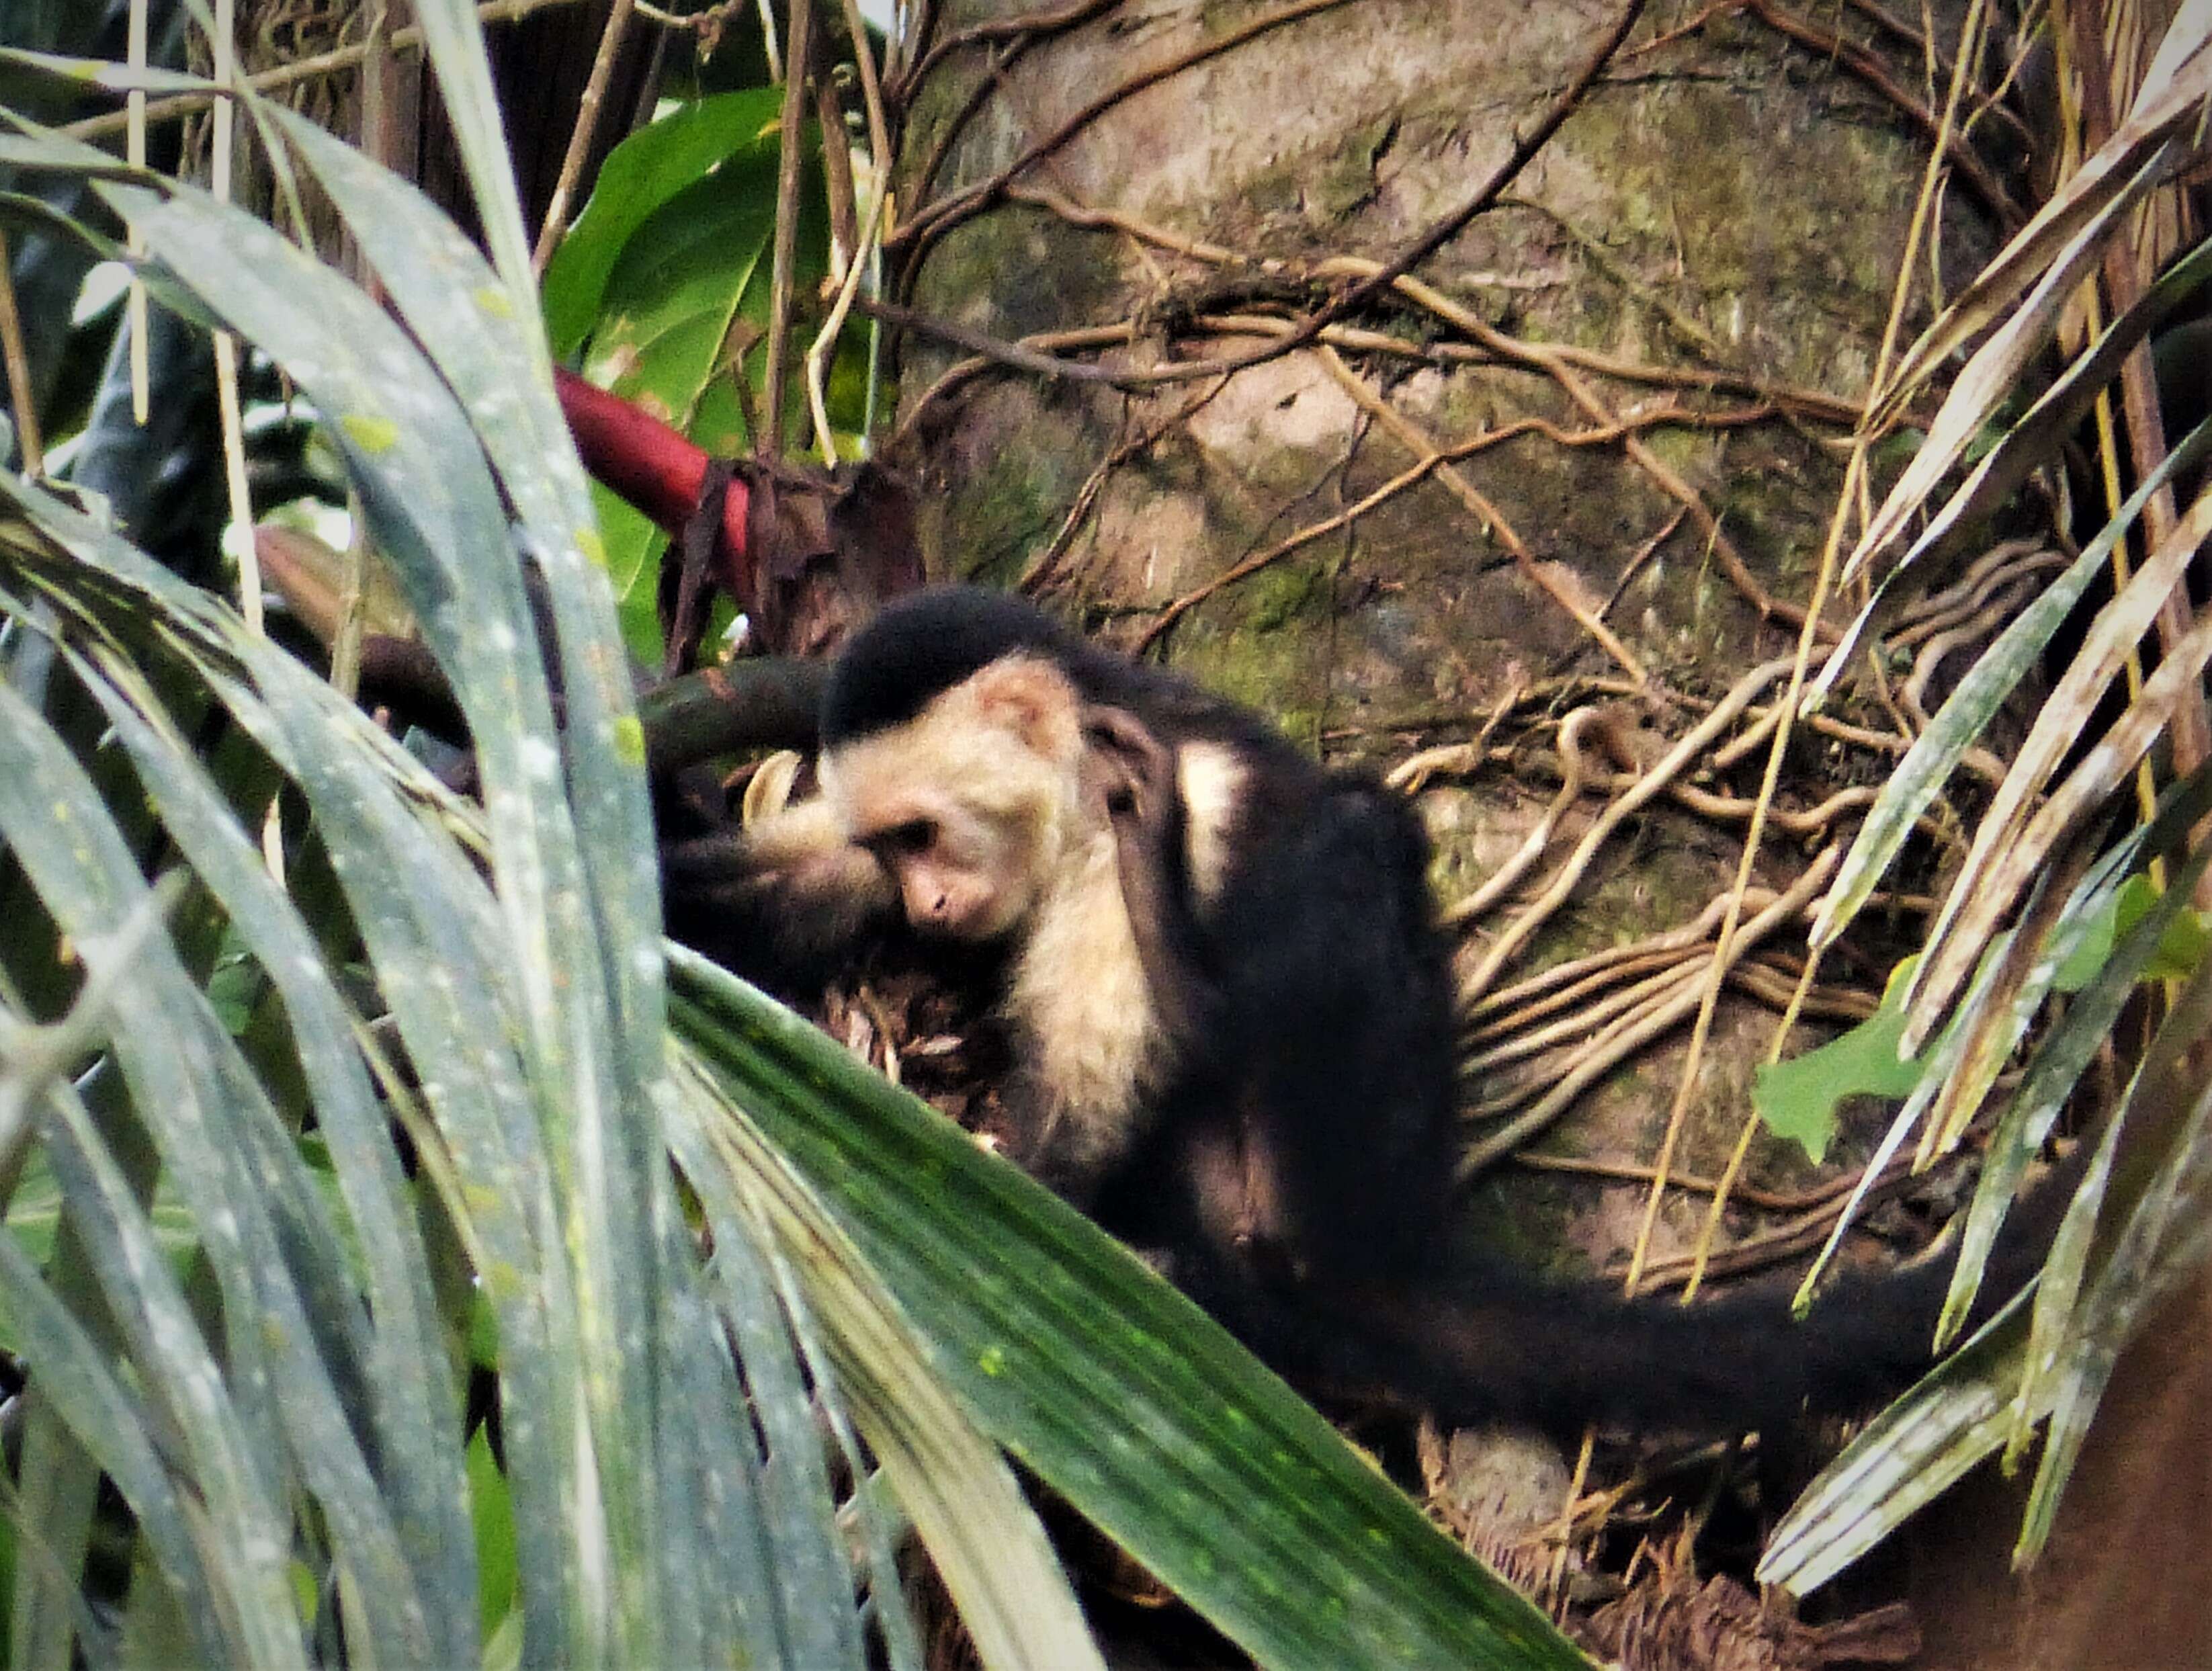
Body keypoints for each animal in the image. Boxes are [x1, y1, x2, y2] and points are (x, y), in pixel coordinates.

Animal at [681, 584, 2061, 1434]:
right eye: (888, 842)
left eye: (922, 831)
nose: (920, 903)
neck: (1077, 800)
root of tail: (1394, 1252)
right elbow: (768, 889)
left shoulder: (1164, 796)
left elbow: (1090, 1122)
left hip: (1356, 1168)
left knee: (1345, 855)